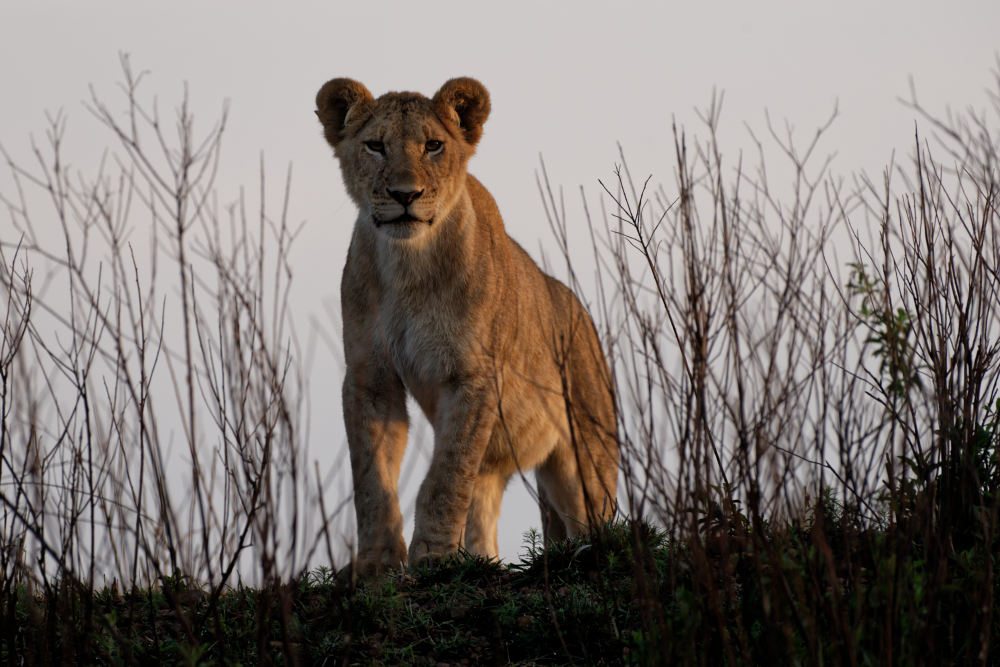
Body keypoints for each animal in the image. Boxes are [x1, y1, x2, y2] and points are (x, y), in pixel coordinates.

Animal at [314, 77, 616, 576]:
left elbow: (445, 476)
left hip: (586, 452)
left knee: (591, 514)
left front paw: (434, 557)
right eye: (375, 146)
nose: (405, 194)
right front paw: (376, 564)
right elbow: (372, 479)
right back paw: (481, 561)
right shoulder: (368, 377)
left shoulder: (474, 376)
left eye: (433, 145)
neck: (408, 265)